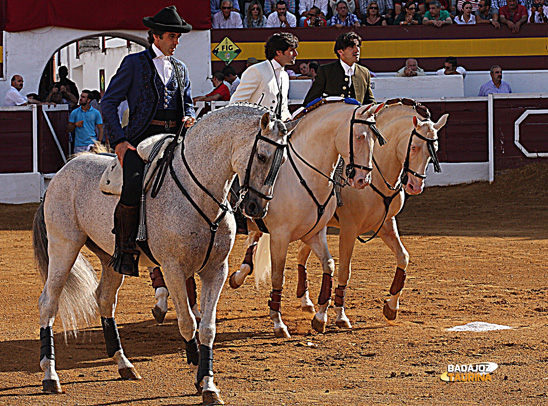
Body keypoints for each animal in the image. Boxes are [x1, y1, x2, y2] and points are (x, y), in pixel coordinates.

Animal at [32, 103, 298, 404]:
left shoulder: (216, 270)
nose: (256, 208)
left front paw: (208, 382)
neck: (199, 190)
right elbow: (187, 322)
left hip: (111, 258)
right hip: (63, 245)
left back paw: (123, 364)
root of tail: (64, 170)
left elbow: (207, 328)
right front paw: (198, 374)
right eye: (262, 156)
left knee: (104, 299)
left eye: (283, 161)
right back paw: (50, 375)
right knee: (49, 302)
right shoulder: (173, 269)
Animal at [227, 100, 386, 338]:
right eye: (359, 136)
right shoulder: (280, 236)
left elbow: (329, 266)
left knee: (253, 240)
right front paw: (278, 323)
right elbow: (278, 276)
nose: (362, 179)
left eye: (374, 139)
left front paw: (321, 317)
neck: (305, 176)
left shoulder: (315, 233)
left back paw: (238, 276)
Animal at [296, 100, 450, 330]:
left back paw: (306, 302)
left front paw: (391, 307)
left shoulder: (386, 224)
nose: (415, 186)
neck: (377, 174)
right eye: (414, 147)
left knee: (301, 255)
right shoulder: (349, 229)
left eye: (434, 150)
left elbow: (403, 258)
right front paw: (340, 316)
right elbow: (345, 271)